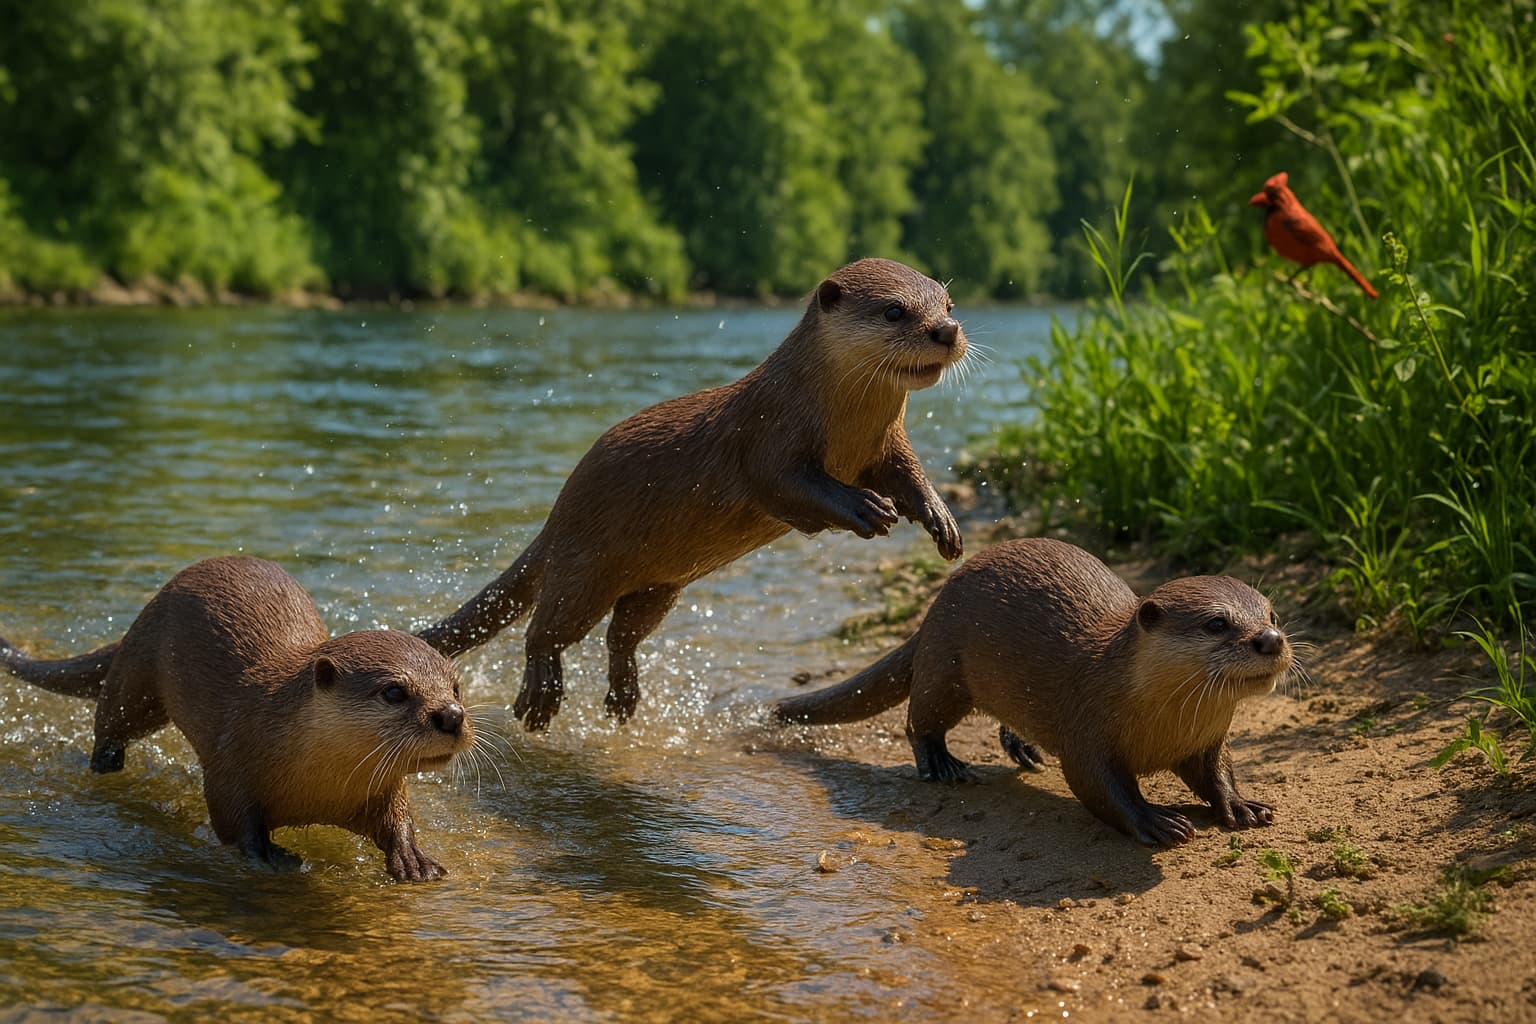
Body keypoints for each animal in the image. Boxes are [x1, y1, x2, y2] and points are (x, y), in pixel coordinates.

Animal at [1, 556, 472, 881]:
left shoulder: (384, 788)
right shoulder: (230, 768)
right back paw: (104, 766)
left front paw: (413, 859)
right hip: (137, 676)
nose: (451, 716)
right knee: (112, 721)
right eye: (394, 691)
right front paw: (268, 855)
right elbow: (234, 823)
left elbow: (397, 820)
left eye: (455, 687)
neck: (318, 789)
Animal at [419, 257, 968, 731]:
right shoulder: (768, 437)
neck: (844, 425)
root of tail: (555, 517)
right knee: (546, 630)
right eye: (894, 310)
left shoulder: (888, 444)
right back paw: (540, 696)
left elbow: (910, 476)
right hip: (584, 566)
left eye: (947, 304)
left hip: (658, 586)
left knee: (622, 635)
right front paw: (864, 507)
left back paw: (623, 697)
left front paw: (940, 518)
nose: (947, 331)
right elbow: (787, 486)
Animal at [775, 538, 1293, 846]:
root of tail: (934, 605)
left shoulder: (1206, 740)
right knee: (919, 720)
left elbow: (1217, 773)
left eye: (1272, 615)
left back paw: (1022, 747)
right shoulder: (1087, 727)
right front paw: (1155, 821)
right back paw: (943, 766)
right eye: (1217, 623)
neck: (1162, 726)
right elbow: (1098, 786)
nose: (1270, 639)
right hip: (945, 666)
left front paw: (1241, 805)